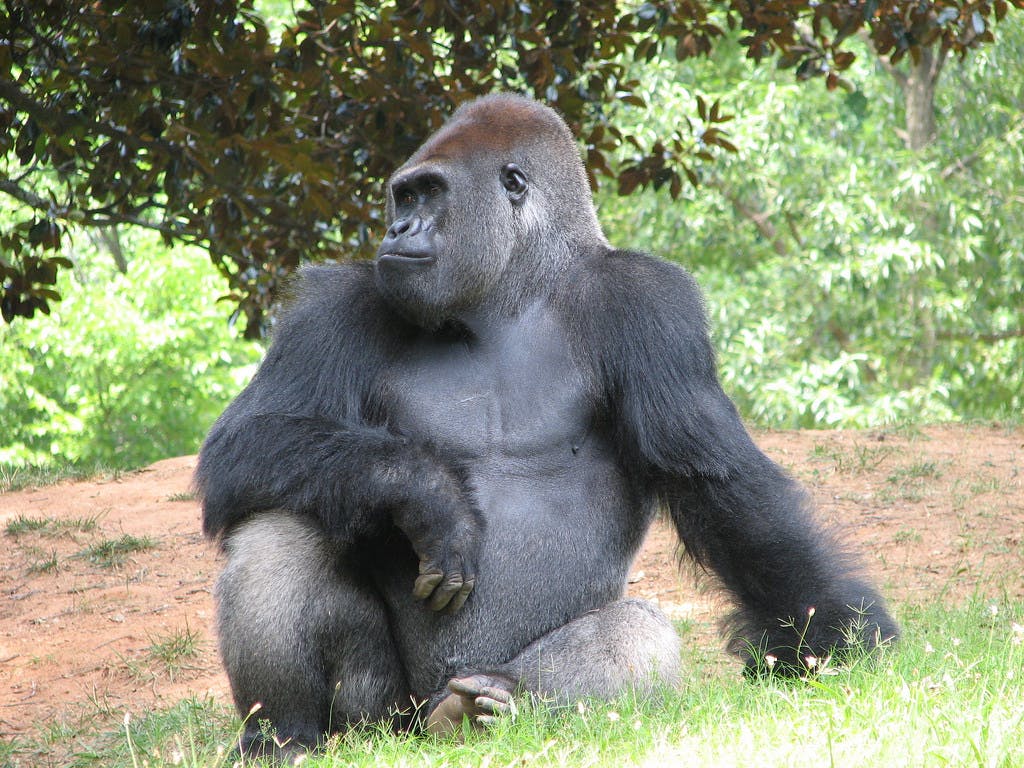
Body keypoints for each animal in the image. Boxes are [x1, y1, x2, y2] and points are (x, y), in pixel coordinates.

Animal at [197, 93, 897, 761]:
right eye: (405, 196)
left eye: (429, 194)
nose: (397, 227)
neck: (512, 291)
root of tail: (427, 726)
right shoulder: (338, 305)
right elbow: (247, 439)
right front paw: (426, 492)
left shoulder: (650, 300)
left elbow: (715, 482)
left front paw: (829, 636)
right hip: (385, 722)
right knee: (279, 527)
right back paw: (286, 734)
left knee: (634, 632)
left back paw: (501, 699)